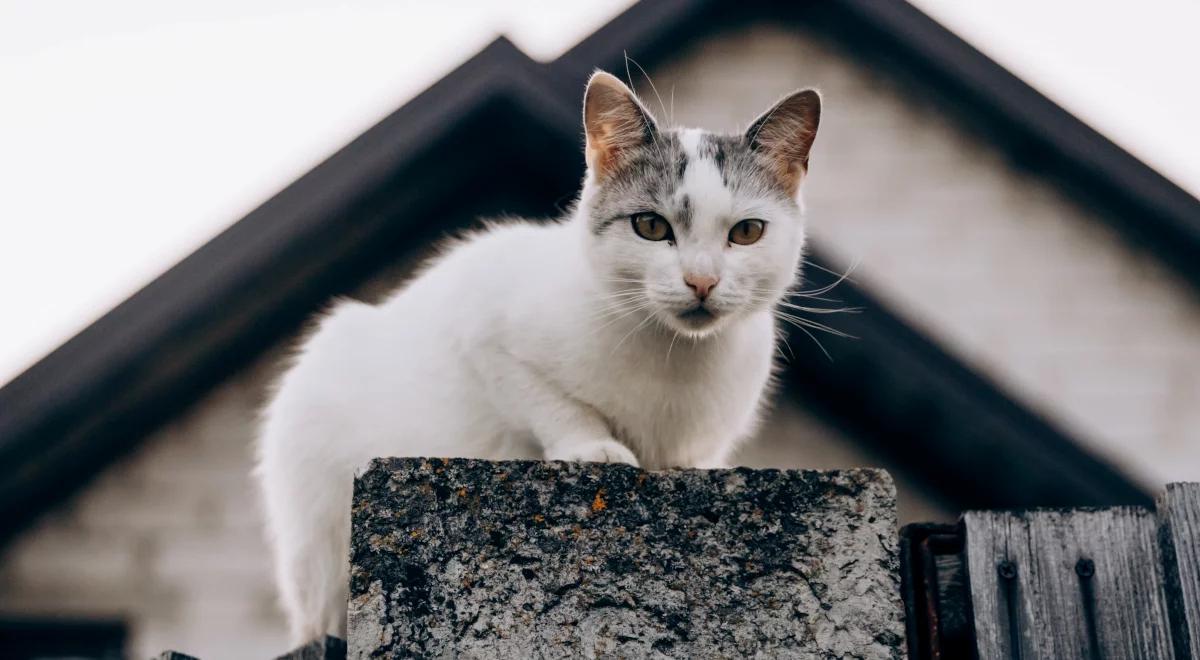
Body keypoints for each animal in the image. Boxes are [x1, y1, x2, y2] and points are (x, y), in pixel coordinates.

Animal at [256, 72, 820, 648]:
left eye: (747, 232)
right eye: (650, 226)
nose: (702, 281)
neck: (675, 357)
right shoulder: (484, 330)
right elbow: (553, 403)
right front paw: (593, 448)